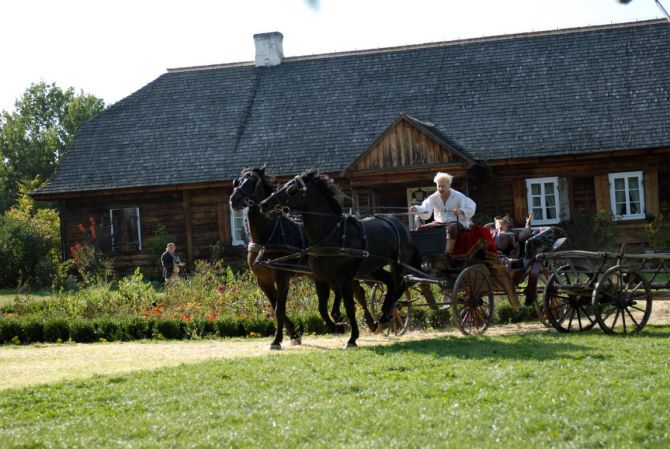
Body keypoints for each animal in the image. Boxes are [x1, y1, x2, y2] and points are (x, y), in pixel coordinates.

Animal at [231, 166, 376, 348]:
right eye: (237, 181)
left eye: (253, 183)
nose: (234, 199)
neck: (266, 238)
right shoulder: (263, 280)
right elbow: (275, 306)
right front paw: (293, 334)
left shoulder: (282, 276)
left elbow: (279, 308)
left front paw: (277, 340)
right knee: (341, 295)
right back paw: (344, 321)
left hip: (342, 275)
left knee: (358, 294)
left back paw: (369, 323)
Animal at [260, 168, 422, 346]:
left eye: (291, 189)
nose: (264, 204)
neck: (330, 234)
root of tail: (401, 225)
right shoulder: (321, 278)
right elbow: (322, 309)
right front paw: (337, 326)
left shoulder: (344, 278)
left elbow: (350, 306)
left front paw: (352, 338)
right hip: (372, 269)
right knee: (390, 283)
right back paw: (384, 315)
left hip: (397, 265)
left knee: (400, 285)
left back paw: (386, 315)